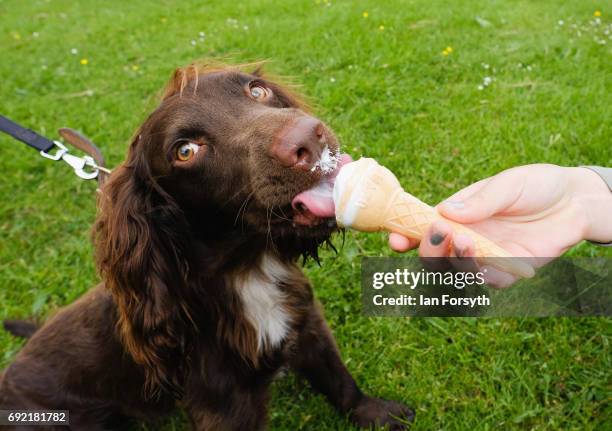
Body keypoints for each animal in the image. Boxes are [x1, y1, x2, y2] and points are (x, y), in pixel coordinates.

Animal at [0, 62, 414, 430]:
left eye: (257, 91)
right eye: (185, 151)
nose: (309, 138)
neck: (246, 268)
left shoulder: (308, 322)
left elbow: (338, 379)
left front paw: (375, 413)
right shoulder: (222, 405)